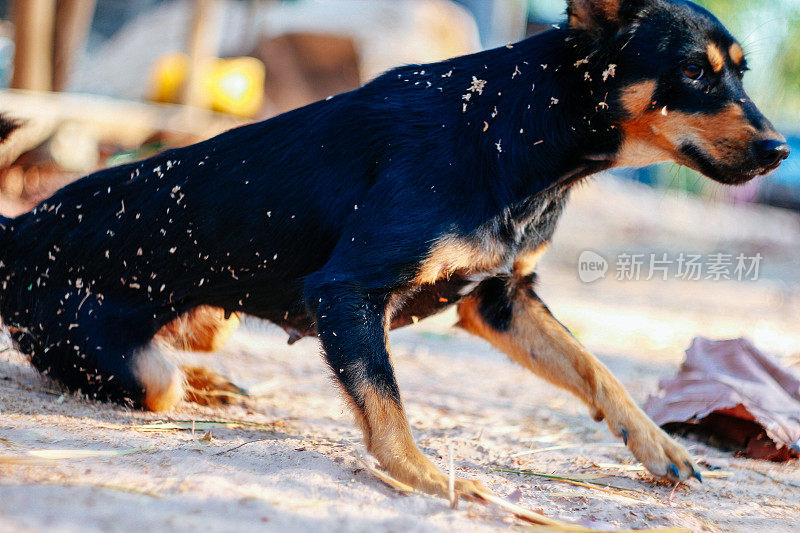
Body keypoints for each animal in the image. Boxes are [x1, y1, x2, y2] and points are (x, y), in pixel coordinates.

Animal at [0, 0, 788, 498]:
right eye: (694, 70)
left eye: (740, 71)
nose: (780, 149)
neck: (512, 126)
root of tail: (21, 230)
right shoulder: (347, 291)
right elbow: (387, 409)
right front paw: (421, 475)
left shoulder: (500, 301)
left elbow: (599, 372)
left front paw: (660, 446)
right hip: (110, 350)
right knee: (152, 378)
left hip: (211, 319)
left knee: (177, 358)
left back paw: (212, 383)